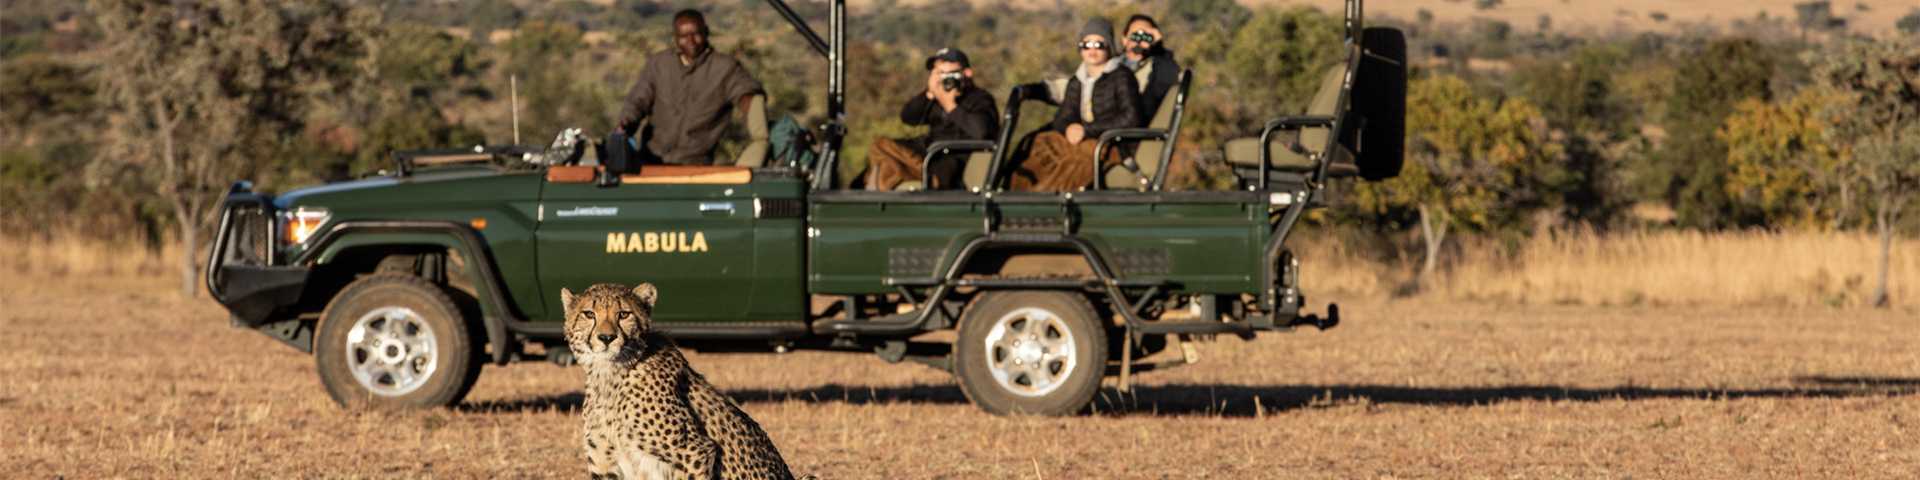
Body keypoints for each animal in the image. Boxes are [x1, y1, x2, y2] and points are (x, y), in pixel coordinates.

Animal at [562, 283, 795, 480]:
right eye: (589, 314)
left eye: (624, 314)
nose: (606, 338)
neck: (609, 375)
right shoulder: (605, 465)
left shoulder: (695, 452)